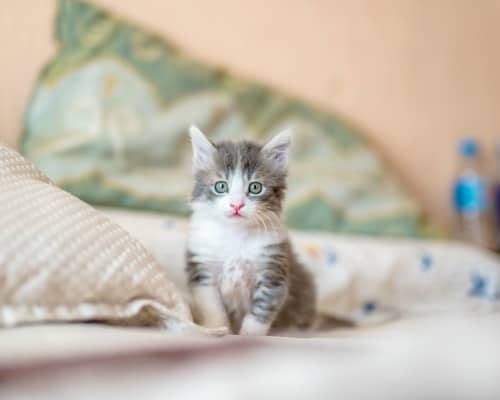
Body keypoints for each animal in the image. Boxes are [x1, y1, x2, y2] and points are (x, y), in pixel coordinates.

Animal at [186, 125, 314, 334]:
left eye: (255, 187)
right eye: (221, 186)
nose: (236, 205)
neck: (235, 234)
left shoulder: (273, 271)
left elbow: (260, 312)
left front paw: (248, 335)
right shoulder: (202, 270)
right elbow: (212, 308)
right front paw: (218, 330)